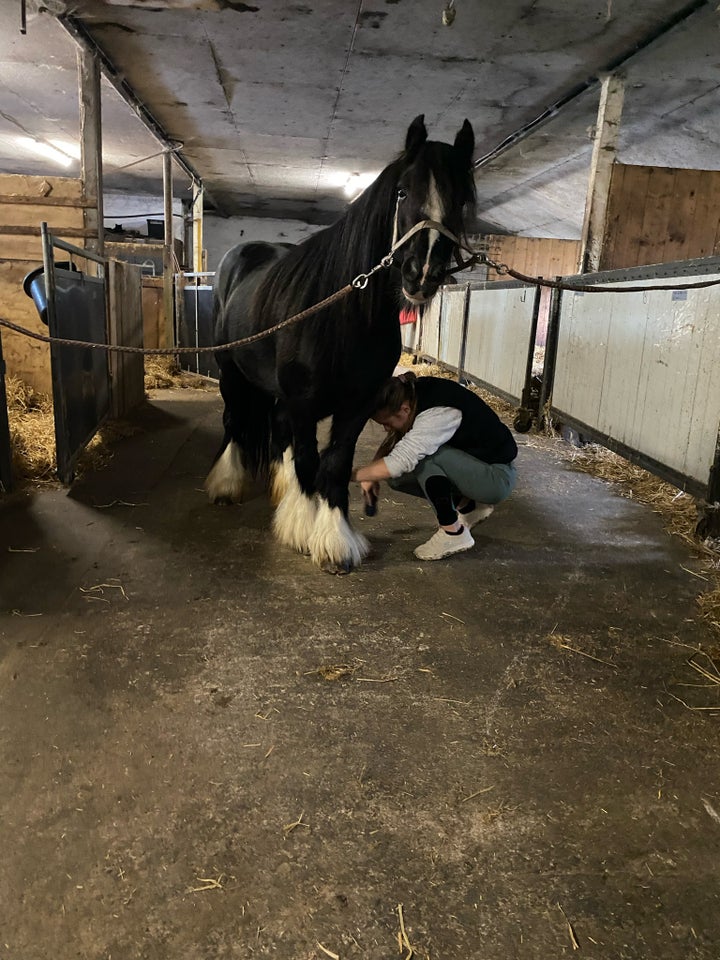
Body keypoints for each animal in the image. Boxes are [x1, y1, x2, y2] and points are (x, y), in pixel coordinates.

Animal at [205, 117, 476, 572]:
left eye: (460, 199)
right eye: (402, 191)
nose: (422, 274)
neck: (343, 317)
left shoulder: (356, 406)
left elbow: (334, 464)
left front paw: (334, 539)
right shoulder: (304, 404)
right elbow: (308, 460)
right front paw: (302, 527)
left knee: (276, 430)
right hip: (231, 374)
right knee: (234, 421)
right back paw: (227, 484)